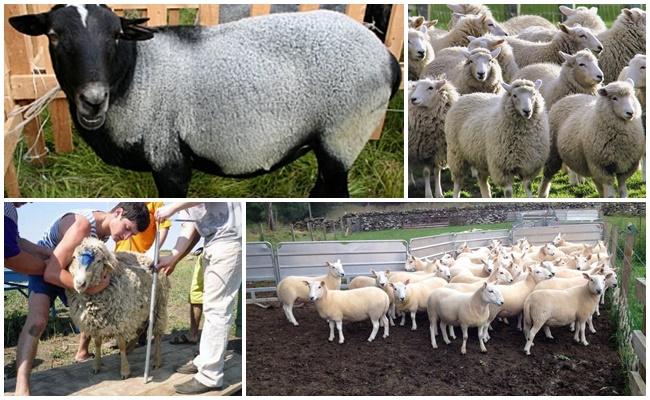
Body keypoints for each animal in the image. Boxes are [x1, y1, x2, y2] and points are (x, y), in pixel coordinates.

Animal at [9, 6, 401, 197]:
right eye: (53, 35)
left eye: (117, 35)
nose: (93, 99)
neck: (138, 76)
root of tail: (387, 57)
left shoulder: (169, 159)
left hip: (343, 135)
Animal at [66, 238, 169, 379]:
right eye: (74, 257)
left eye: (98, 261)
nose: (79, 284)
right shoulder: (95, 324)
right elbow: (97, 343)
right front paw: (96, 365)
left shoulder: (119, 320)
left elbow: (121, 345)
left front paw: (125, 370)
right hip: (140, 310)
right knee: (140, 329)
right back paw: (131, 348)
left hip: (159, 305)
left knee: (158, 334)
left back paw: (156, 361)